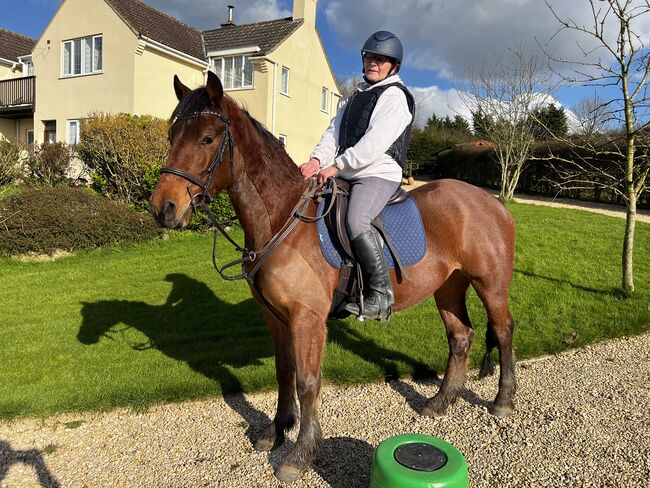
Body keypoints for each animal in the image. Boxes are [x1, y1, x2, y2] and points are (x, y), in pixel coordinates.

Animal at [149, 70, 512, 482]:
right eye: (172, 136)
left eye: (207, 138)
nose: (163, 208)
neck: (282, 219)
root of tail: (491, 200)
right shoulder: (276, 317)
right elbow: (284, 373)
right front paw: (276, 431)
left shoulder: (307, 319)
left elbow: (308, 382)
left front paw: (301, 453)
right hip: (448, 287)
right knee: (460, 336)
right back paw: (440, 403)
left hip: (490, 285)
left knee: (503, 331)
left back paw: (503, 401)